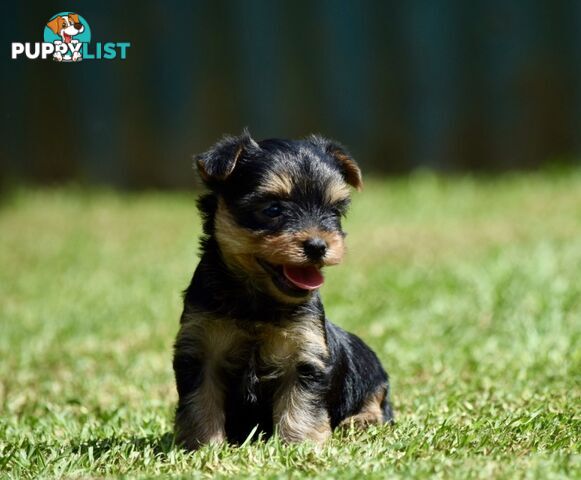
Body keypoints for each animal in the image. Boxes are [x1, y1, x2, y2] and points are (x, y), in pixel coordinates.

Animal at [171, 129, 390, 448]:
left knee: (377, 400)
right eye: (273, 209)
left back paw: (361, 421)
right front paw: (203, 445)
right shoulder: (200, 350)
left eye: (334, 212)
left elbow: (301, 406)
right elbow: (201, 401)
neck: (258, 301)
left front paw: (301, 445)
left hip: (370, 371)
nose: (318, 245)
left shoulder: (305, 354)